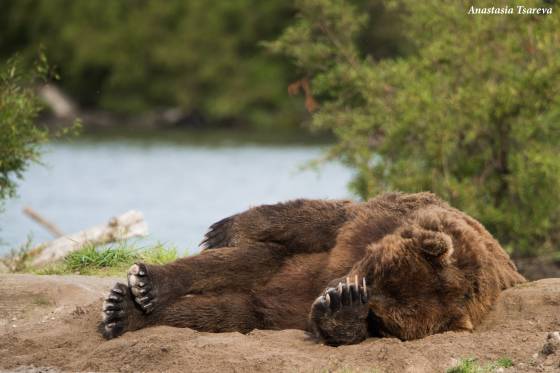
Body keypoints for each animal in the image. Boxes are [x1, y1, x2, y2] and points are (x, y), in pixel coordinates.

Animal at [99, 193, 524, 344]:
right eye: (373, 272)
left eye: (379, 317)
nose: (332, 291)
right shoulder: (373, 222)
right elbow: (322, 217)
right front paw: (223, 228)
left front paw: (341, 312)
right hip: (280, 267)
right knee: (240, 261)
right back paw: (144, 287)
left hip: (264, 310)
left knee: (223, 312)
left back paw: (125, 313)